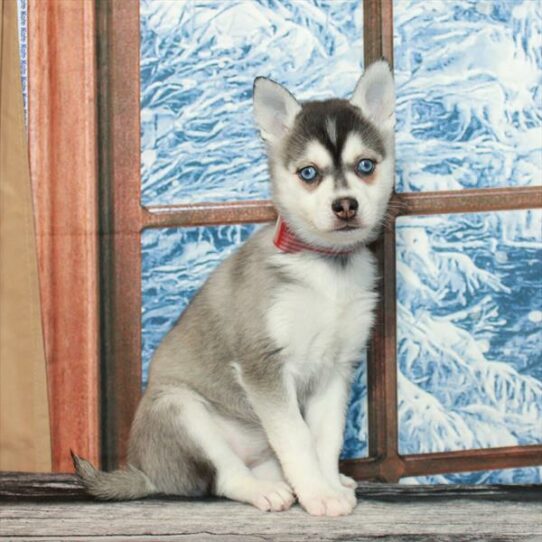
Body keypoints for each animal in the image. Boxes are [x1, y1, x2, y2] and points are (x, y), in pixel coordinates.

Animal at [74, 60, 396, 520]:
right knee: (223, 476)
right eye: (309, 173)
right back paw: (266, 491)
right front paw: (319, 494)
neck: (324, 269)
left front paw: (329, 483)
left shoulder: (335, 370)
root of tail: (146, 470)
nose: (346, 205)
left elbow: (324, 439)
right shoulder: (263, 365)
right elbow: (297, 437)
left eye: (365, 166)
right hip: (180, 409)